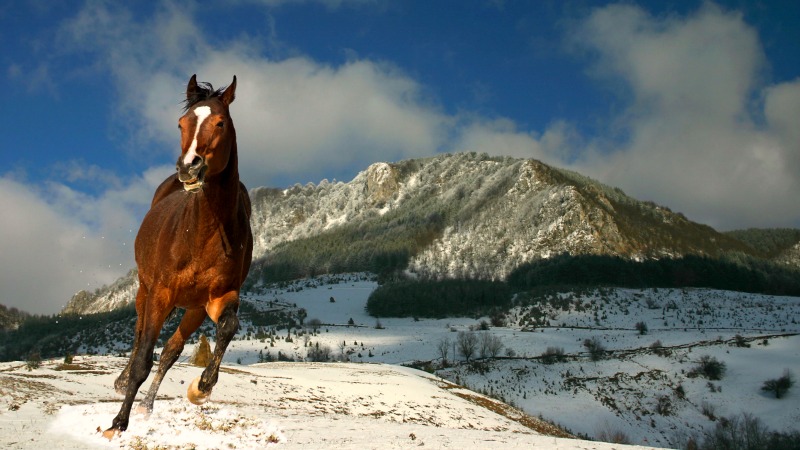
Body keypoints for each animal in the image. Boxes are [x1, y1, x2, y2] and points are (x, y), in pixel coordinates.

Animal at [103, 74, 253, 440]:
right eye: (181, 123)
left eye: (220, 122)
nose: (189, 167)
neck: (201, 232)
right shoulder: (160, 292)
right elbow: (143, 356)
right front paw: (117, 424)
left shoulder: (219, 298)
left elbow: (227, 327)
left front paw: (201, 388)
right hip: (146, 290)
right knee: (139, 335)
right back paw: (123, 383)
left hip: (191, 308)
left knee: (171, 350)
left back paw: (147, 405)